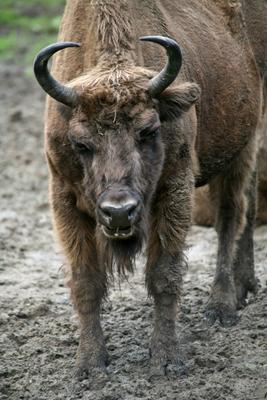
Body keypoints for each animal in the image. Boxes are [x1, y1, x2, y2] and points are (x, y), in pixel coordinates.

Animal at [33, 0, 264, 376]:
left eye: (149, 130)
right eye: (80, 143)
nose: (119, 212)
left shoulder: (174, 189)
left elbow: (164, 274)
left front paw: (166, 359)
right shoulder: (64, 196)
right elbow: (85, 281)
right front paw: (90, 363)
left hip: (244, 142)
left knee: (231, 215)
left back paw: (222, 306)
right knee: (247, 209)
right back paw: (245, 287)